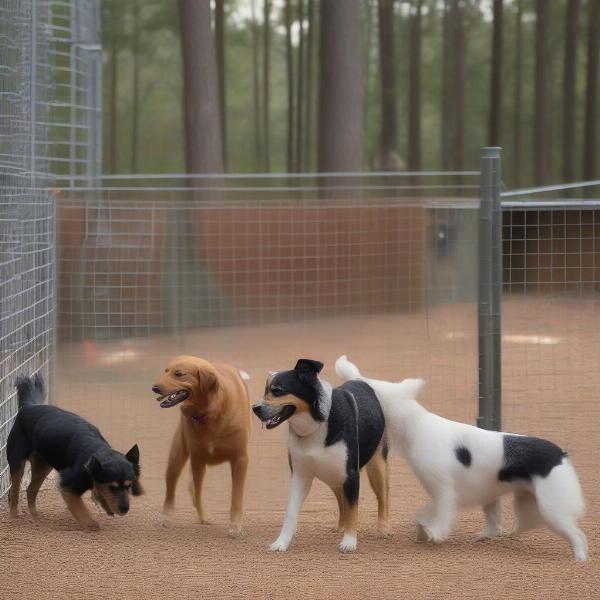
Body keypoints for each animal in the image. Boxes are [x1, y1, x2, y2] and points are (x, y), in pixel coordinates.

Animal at [8, 376, 142, 528]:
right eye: (112, 487)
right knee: (15, 491)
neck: (96, 452)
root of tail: (30, 405)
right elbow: (79, 508)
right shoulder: (67, 484)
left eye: (129, 486)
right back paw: (13, 517)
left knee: (31, 490)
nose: (125, 509)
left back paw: (36, 517)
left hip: (43, 465)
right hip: (17, 462)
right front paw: (91, 523)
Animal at [155, 356, 251, 536]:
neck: (212, 411)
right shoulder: (198, 458)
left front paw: (235, 526)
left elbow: (236, 497)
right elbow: (198, 493)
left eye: (179, 374)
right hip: (177, 457)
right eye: (165, 371)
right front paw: (204, 516)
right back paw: (167, 516)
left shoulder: (240, 459)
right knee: (172, 489)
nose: (154, 388)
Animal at [252, 358, 390, 556]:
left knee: (382, 497)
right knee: (341, 499)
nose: (255, 408)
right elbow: (291, 512)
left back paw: (383, 528)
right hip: (333, 475)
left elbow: (353, 509)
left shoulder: (351, 474)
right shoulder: (299, 475)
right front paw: (281, 542)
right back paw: (340, 526)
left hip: (377, 466)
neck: (315, 424)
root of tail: (359, 381)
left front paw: (349, 542)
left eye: (277, 390)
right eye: (265, 391)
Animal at [338, 354, 592, 560]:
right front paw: (423, 532)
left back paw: (580, 557)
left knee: (576, 534)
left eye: (368, 388)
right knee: (501, 526)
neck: (416, 424)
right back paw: (488, 536)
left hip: (552, 509)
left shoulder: (444, 490)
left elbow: (441, 515)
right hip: (518, 500)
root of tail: (560, 454)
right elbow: (423, 514)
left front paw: (434, 534)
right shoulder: (441, 493)